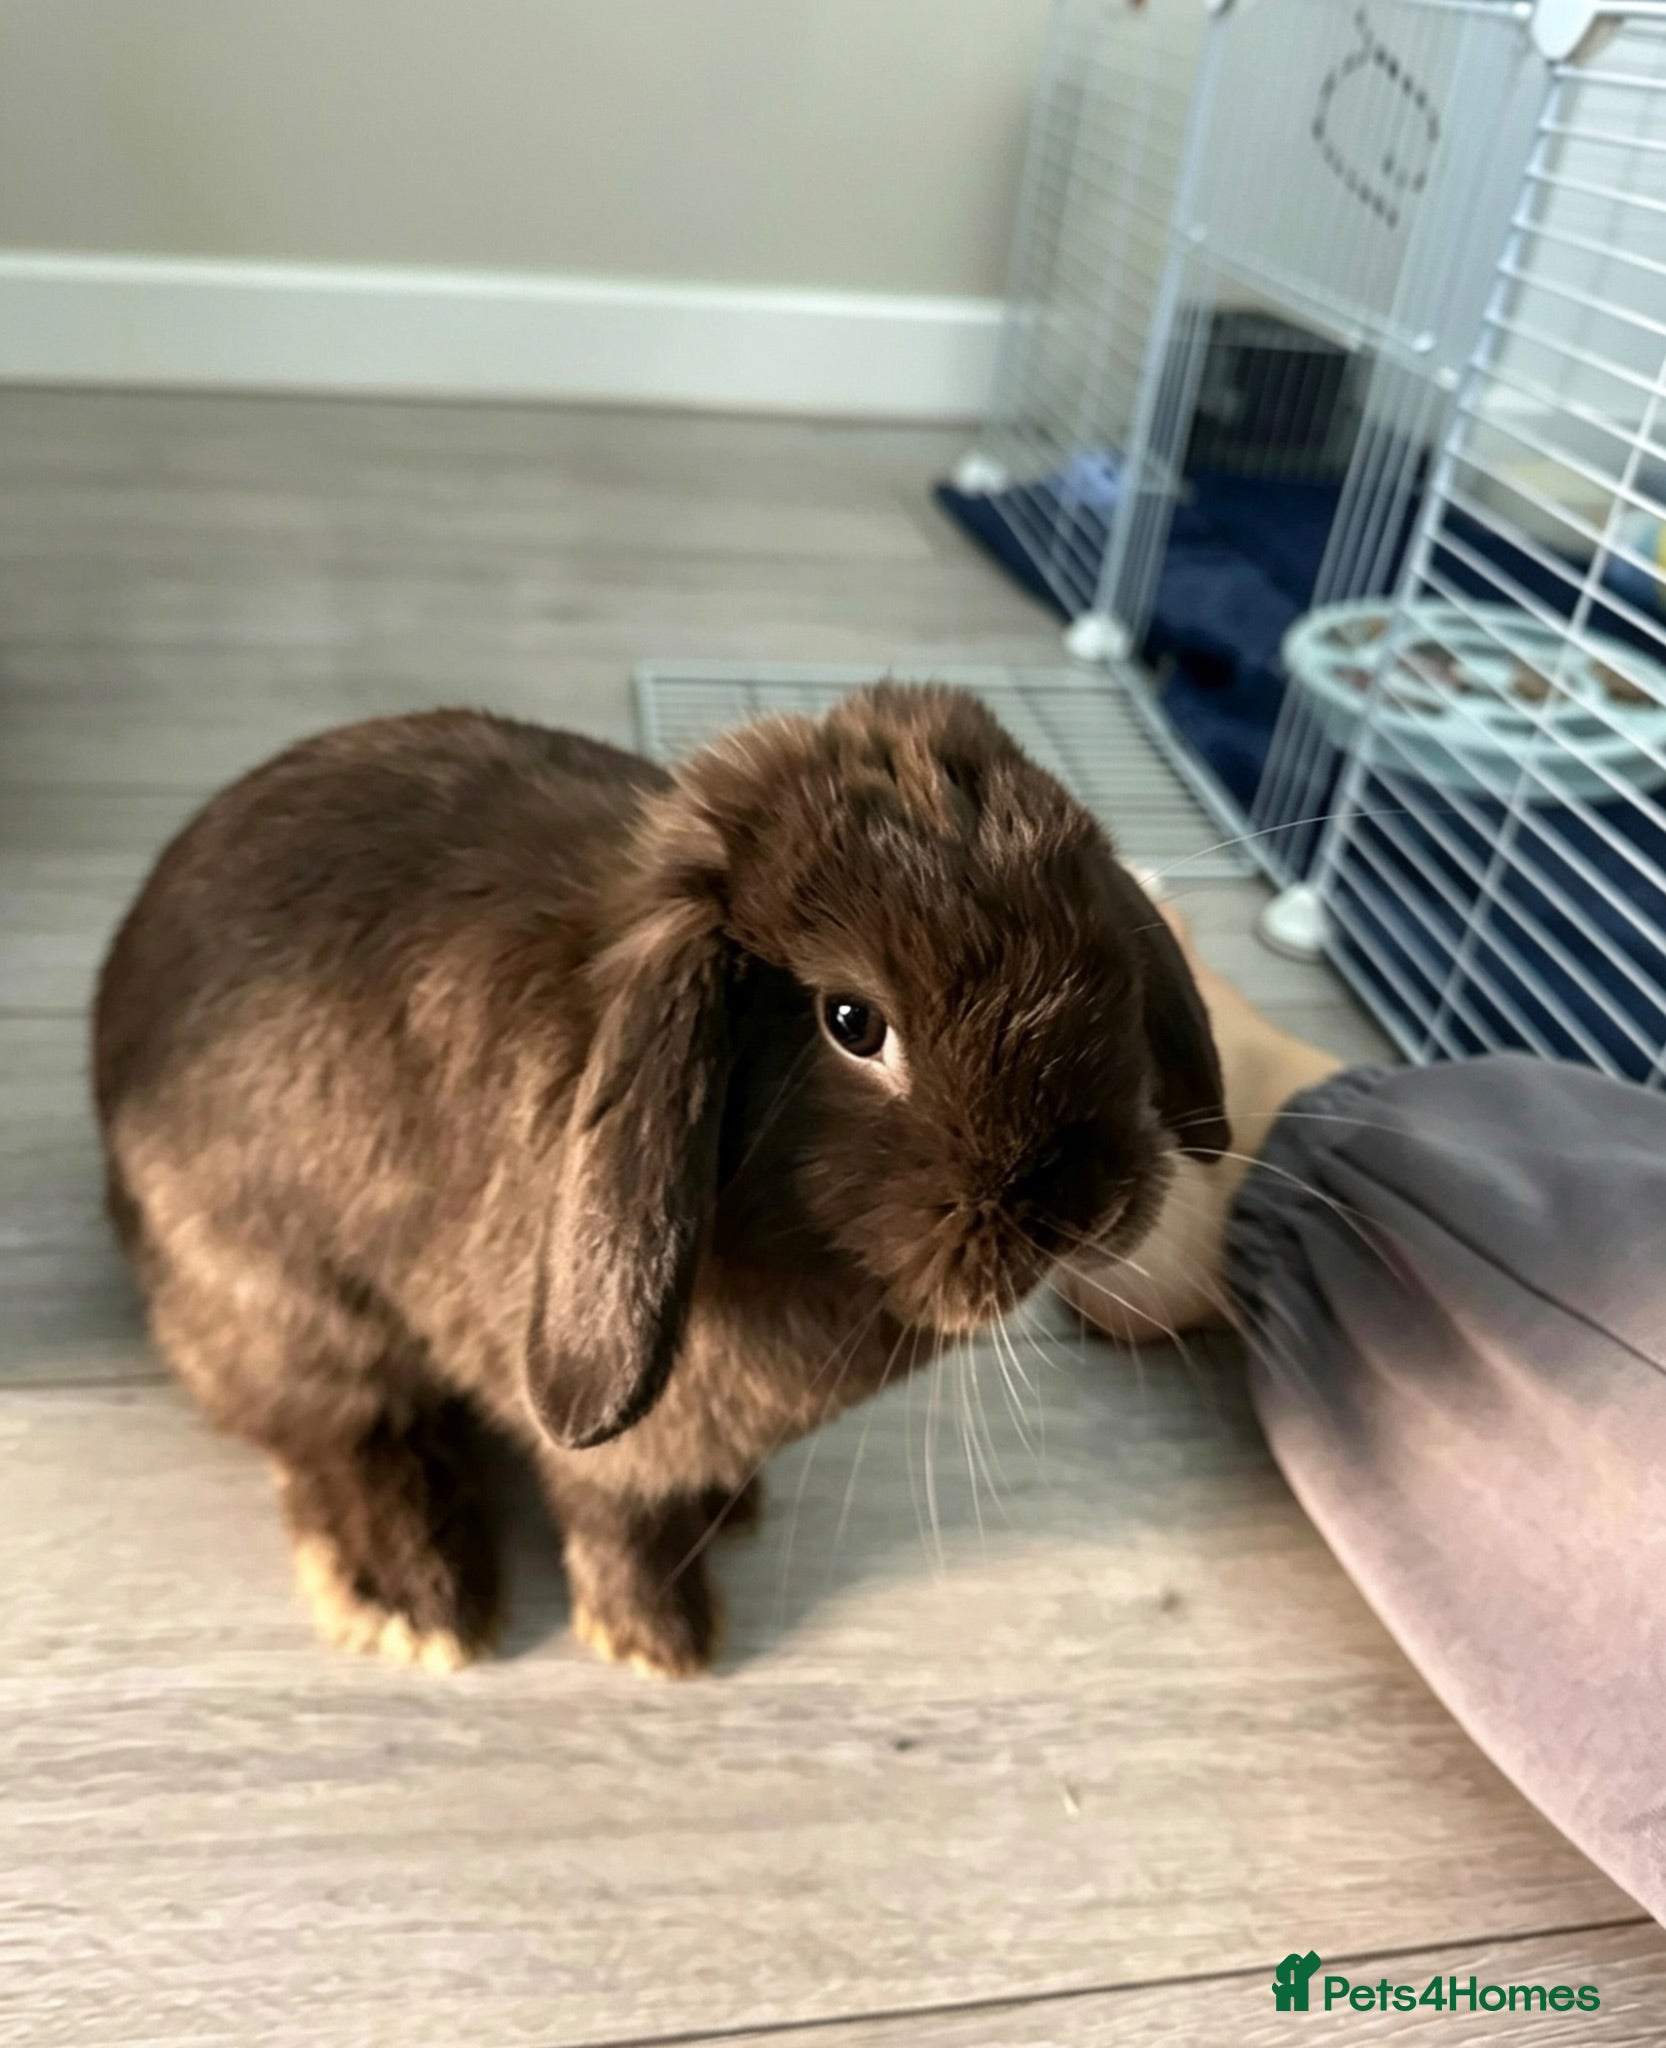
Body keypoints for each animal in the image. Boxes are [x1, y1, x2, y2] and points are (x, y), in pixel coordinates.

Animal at [93, 683, 1229, 1677]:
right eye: (852, 1021)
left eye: (1105, 960)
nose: (1085, 1203)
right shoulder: (617, 1452)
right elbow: (619, 1526)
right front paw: (664, 1644)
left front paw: (723, 1521)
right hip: (285, 1300)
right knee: (340, 1431)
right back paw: (418, 1602)